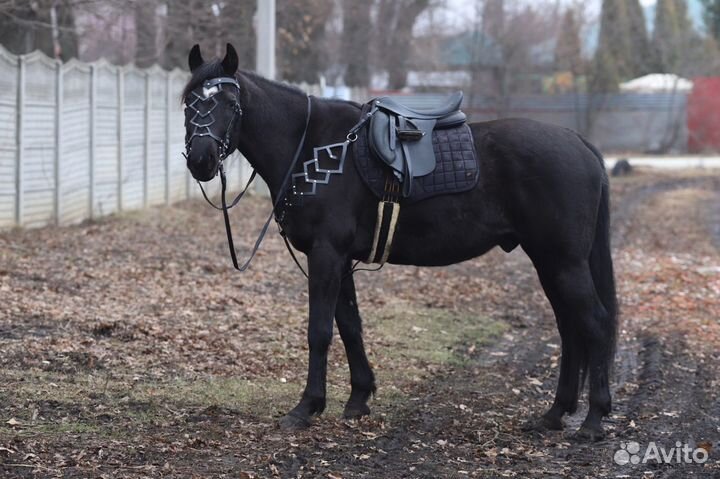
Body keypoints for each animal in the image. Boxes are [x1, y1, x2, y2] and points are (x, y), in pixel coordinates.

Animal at [183, 45, 616, 442]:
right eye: (189, 101)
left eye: (231, 103)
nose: (200, 160)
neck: (312, 148)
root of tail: (578, 142)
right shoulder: (340, 261)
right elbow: (350, 326)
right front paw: (358, 399)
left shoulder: (326, 255)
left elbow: (319, 330)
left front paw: (306, 407)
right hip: (550, 262)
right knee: (569, 327)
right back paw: (554, 413)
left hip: (563, 262)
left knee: (593, 323)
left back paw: (594, 419)